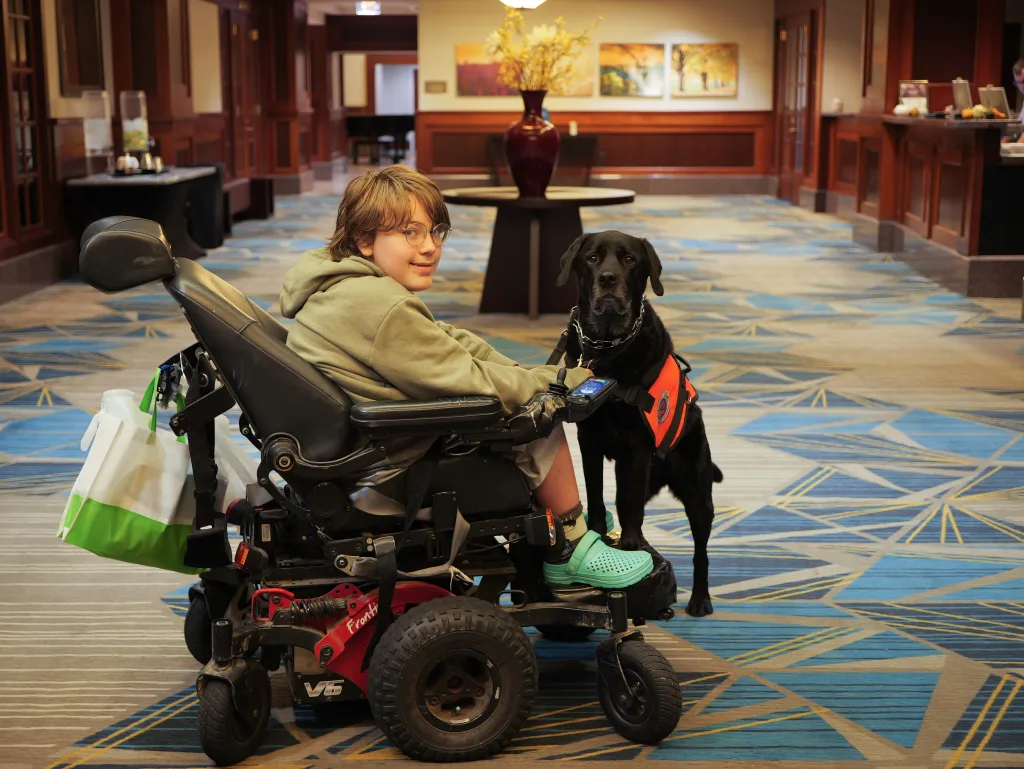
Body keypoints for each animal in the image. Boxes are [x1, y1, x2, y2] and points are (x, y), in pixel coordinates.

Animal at [561, 228, 720, 618]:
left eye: (630, 259)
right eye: (592, 258)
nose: (608, 278)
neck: (608, 347)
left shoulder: (638, 445)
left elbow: (629, 503)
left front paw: (631, 546)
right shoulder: (588, 439)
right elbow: (597, 495)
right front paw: (601, 535)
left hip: (696, 489)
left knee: (701, 550)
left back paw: (700, 598)